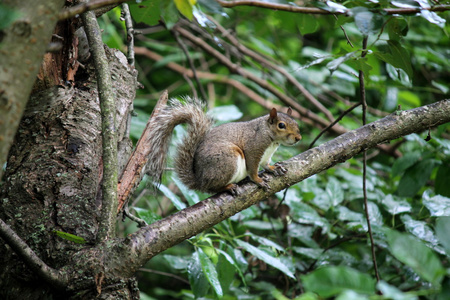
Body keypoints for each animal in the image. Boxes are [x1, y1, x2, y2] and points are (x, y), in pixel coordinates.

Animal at [148, 97, 302, 196]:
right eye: (281, 125)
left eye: (296, 122)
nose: (298, 138)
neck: (271, 139)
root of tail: (200, 180)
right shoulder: (254, 147)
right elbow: (253, 168)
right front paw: (258, 180)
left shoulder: (266, 155)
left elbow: (265, 164)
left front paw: (273, 168)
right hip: (228, 160)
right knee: (211, 188)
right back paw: (227, 187)